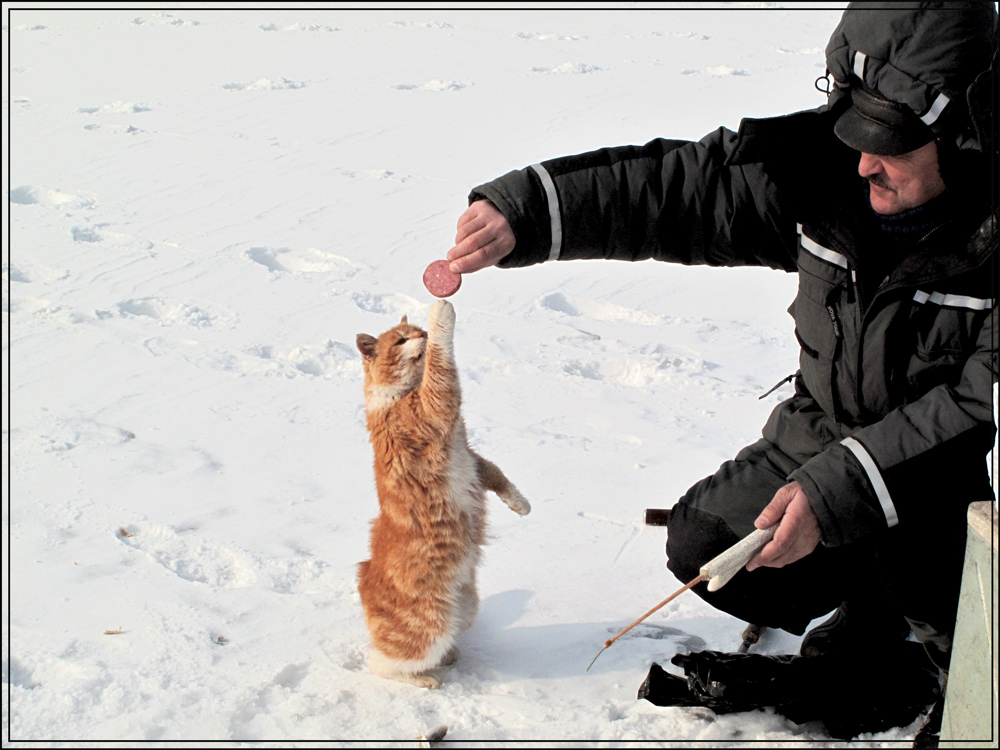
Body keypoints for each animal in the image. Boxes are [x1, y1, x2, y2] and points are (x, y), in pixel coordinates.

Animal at [358, 302, 532, 692]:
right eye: (401, 340)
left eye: (414, 331)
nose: (420, 334)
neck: (399, 395)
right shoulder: (436, 403)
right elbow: (442, 358)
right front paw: (441, 310)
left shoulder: (470, 453)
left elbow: (496, 474)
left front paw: (520, 503)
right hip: (429, 627)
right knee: (381, 663)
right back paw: (424, 679)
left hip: (465, 610)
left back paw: (449, 656)